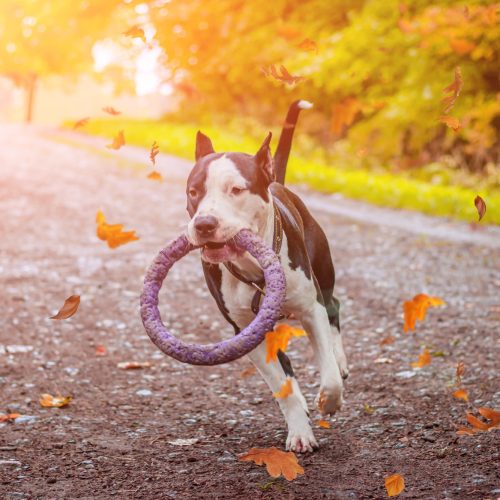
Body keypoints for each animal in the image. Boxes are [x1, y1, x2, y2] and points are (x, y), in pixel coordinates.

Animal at [185, 101, 348, 454]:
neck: (255, 269)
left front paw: (329, 401)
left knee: (335, 309)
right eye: (193, 191)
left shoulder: (310, 308)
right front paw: (299, 429)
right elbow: (281, 386)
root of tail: (277, 182)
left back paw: (340, 360)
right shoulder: (247, 332)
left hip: (324, 275)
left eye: (236, 189)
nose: (204, 224)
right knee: (286, 368)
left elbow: (327, 372)